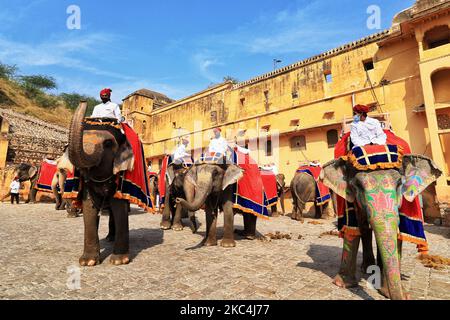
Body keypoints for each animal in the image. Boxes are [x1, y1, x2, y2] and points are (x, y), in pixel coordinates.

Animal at [324, 155, 442, 300]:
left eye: (399, 183)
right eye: (358, 186)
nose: (403, 296)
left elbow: (398, 233)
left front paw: (395, 293)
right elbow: (353, 228)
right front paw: (343, 284)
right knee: (363, 228)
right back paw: (367, 268)